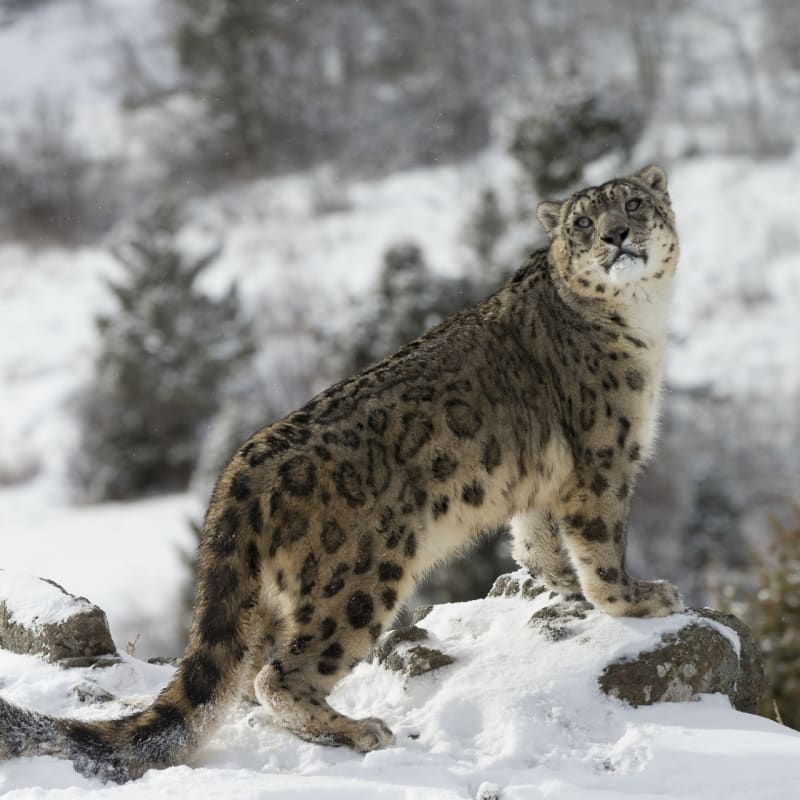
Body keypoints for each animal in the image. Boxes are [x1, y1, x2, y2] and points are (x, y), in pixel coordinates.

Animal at [0, 165, 683, 782]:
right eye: (583, 222)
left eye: (634, 204)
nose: (617, 235)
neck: (644, 323)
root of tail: (239, 471)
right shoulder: (603, 459)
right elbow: (601, 544)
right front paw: (636, 598)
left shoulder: (547, 479)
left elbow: (538, 539)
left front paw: (559, 585)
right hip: (358, 578)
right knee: (280, 673)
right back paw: (358, 729)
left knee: (245, 673)